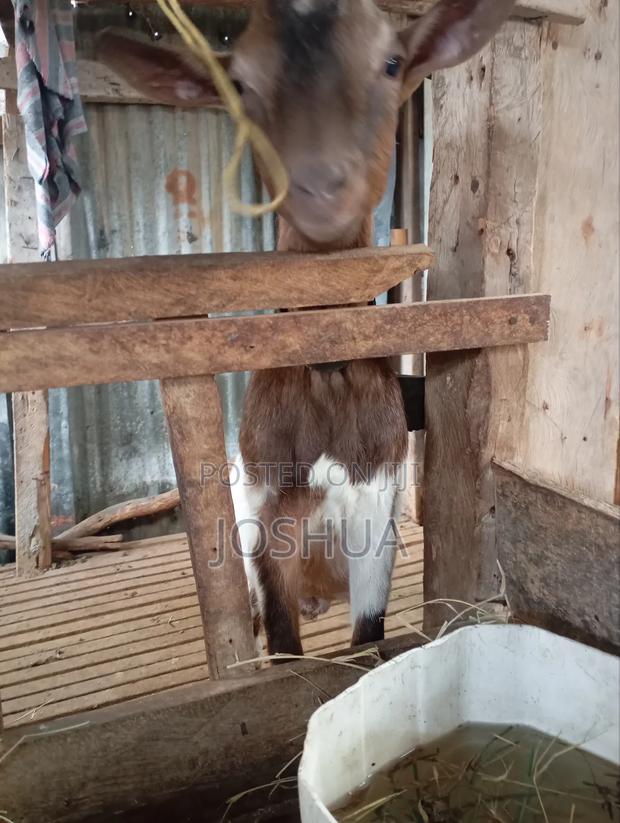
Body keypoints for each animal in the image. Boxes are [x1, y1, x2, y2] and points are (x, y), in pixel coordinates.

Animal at [101, 0, 515, 658]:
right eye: (239, 84)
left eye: (391, 62)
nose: (317, 182)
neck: (324, 374)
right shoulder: (268, 509)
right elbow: (283, 638)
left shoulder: (376, 505)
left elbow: (369, 637)